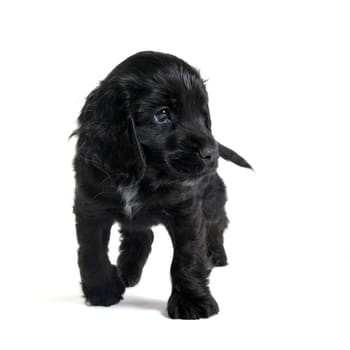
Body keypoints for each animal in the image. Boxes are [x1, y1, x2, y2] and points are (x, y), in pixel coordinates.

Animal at [72, 50, 252, 318]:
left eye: (203, 116)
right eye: (163, 114)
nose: (212, 153)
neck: (144, 174)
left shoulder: (187, 211)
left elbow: (186, 258)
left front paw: (192, 301)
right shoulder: (89, 207)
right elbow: (92, 251)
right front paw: (102, 291)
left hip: (212, 199)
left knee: (217, 224)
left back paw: (216, 256)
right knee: (142, 236)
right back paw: (127, 271)